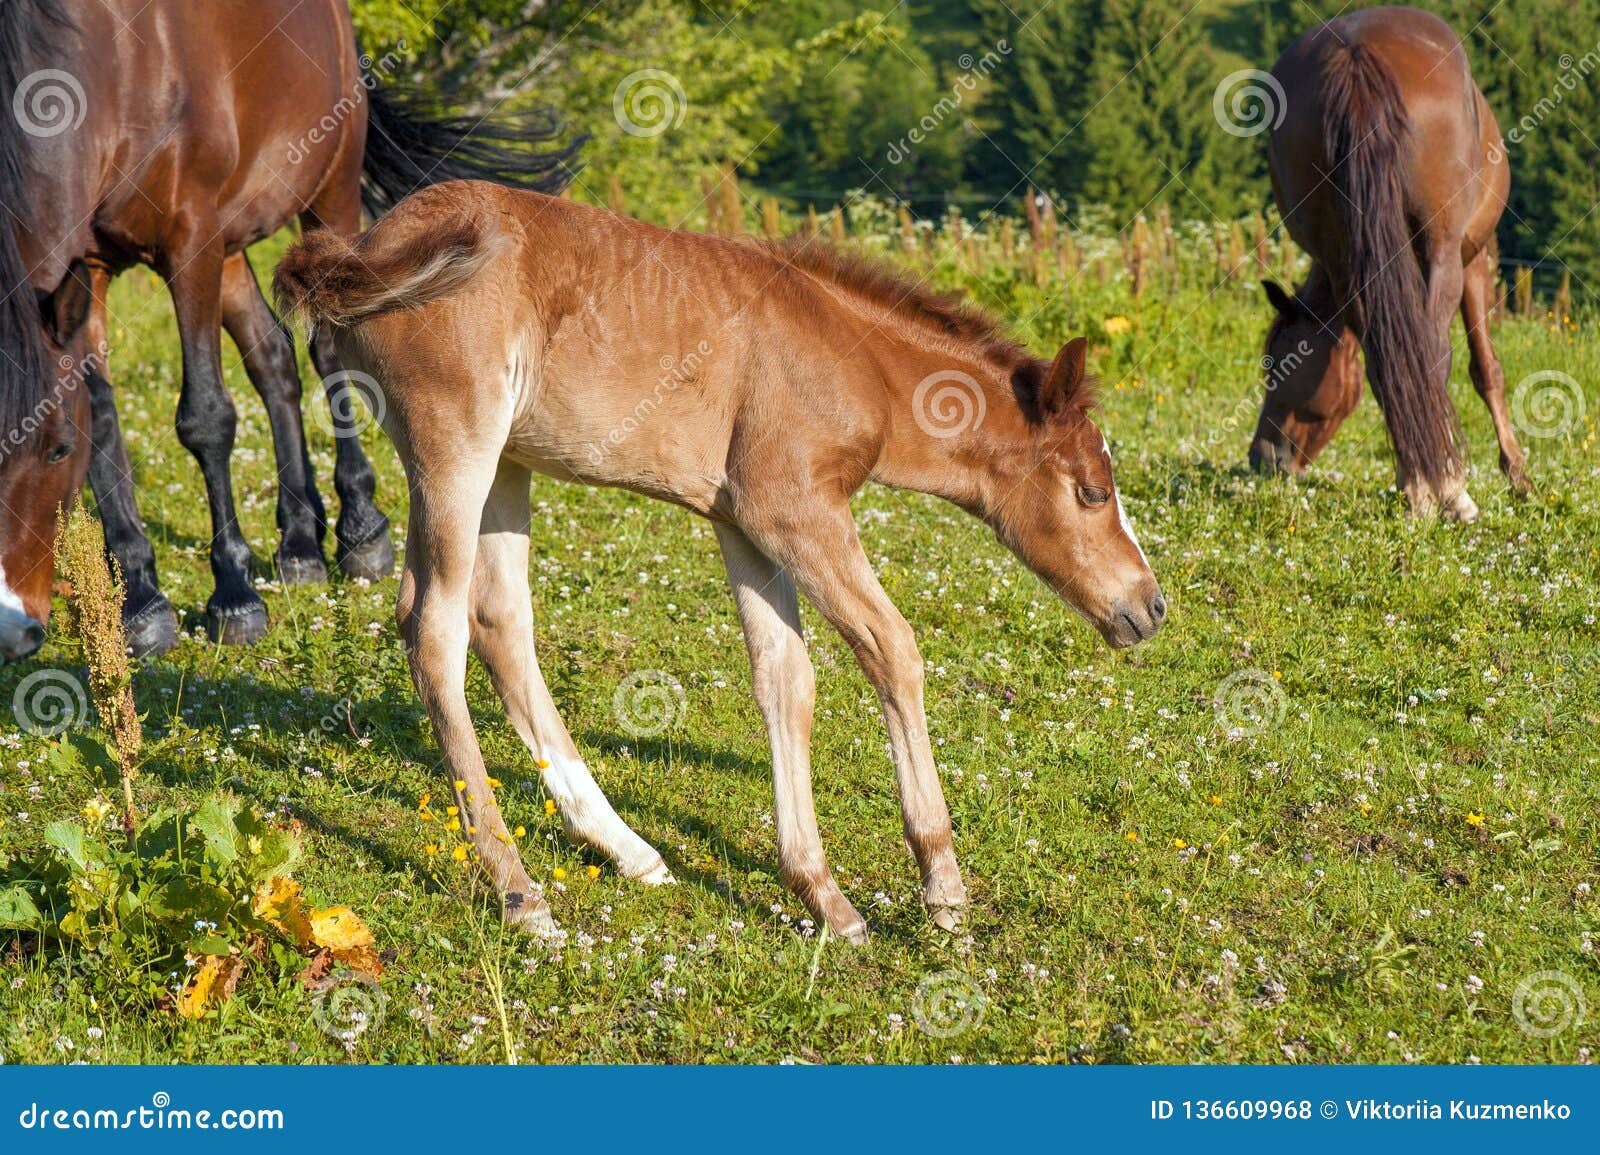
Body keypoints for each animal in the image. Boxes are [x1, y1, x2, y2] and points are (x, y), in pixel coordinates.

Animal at [0, 0, 576, 655]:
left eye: (56, 450)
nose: (17, 630)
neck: (114, 69)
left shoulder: (189, 240)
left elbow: (205, 417)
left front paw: (234, 594)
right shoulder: (92, 265)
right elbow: (102, 416)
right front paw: (142, 600)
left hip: (325, 197)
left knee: (327, 349)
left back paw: (360, 530)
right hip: (229, 243)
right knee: (271, 354)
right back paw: (301, 541)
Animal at [281, 177, 1171, 934]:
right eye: (1093, 490)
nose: (1150, 605)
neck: (853, 356)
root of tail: (372, 243)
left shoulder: (743, 520)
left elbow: (785, 678)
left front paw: (821, 893)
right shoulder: (796, 509)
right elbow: (892, 649)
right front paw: (941, 884)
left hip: (507, 460)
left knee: (499, 620)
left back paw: (626, 848)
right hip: (454, 442)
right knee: (432, 626)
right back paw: (518, 888)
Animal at [1248, 6, 1523, 518]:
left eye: (1276, 365)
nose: (1262, 457)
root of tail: (1354, 53)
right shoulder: (1473, 260)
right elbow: (1486, 370)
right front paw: (1516, 474)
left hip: (1347, 258)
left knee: (1388, 368)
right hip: (1442, 252)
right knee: (1430, 358)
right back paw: (1448, 488)